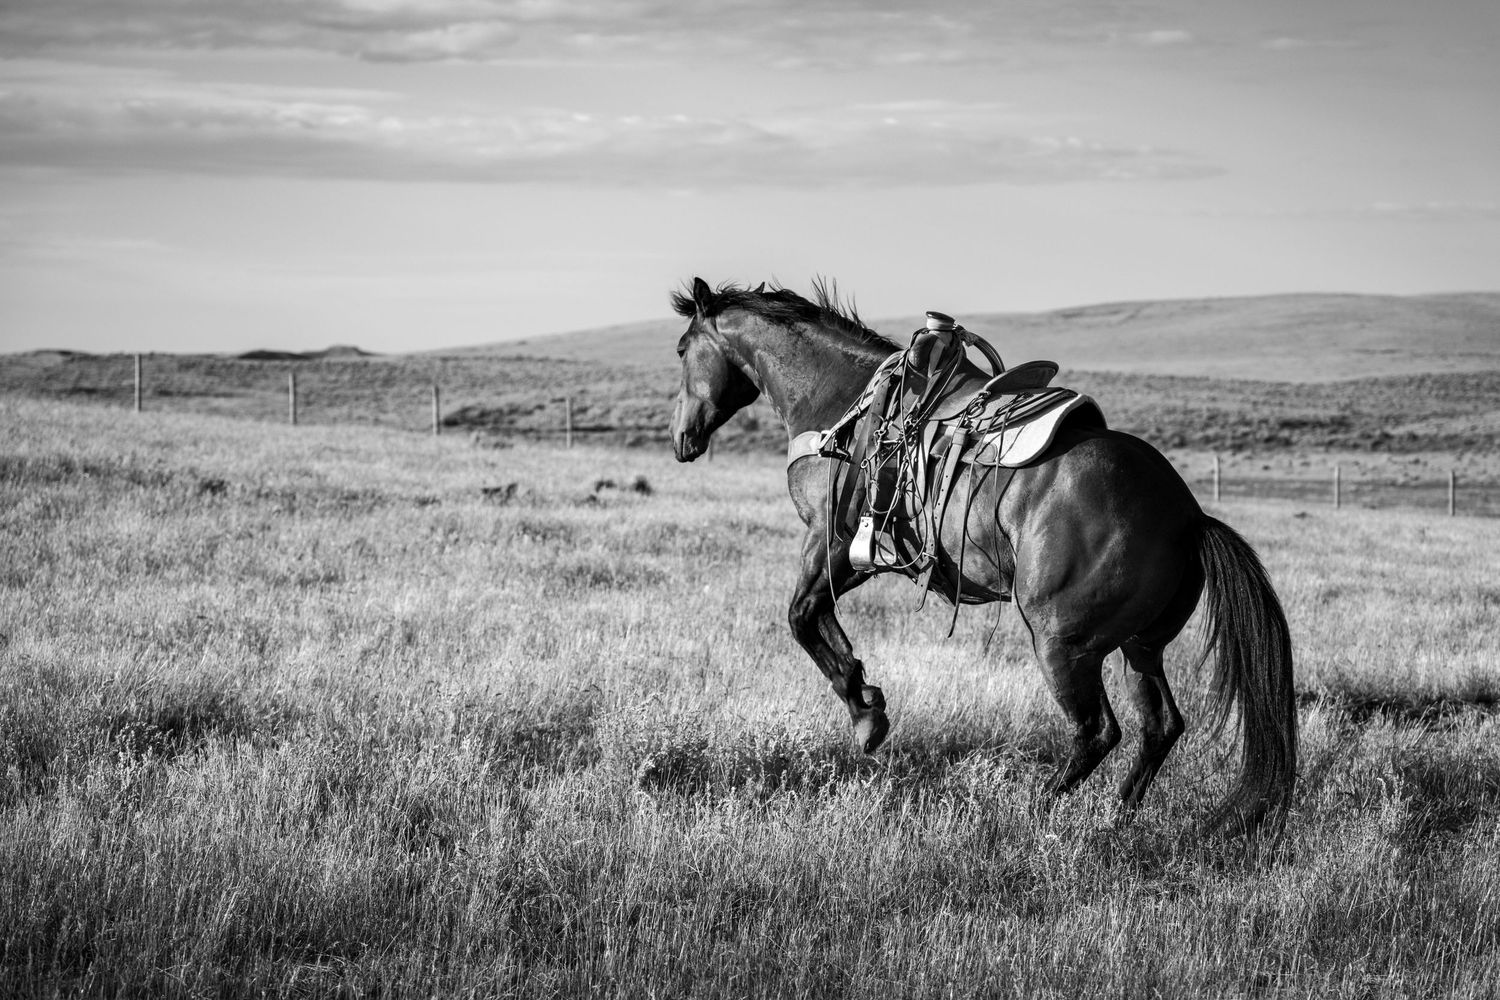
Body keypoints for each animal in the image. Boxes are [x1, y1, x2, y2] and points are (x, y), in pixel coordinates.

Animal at [667, 277, 1297, 834]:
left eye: (679, 350)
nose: (682, 439)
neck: (842, 400)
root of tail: (1188, 516)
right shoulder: (863, 554)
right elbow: (815, 618)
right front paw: (867, 698)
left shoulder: (833, 541)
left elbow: (801, 618)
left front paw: (867, 714)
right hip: (1139, 646)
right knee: (1159, 725)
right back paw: (1115, 819)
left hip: (1062, 641)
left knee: (1098, 730)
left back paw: (1033, 811)